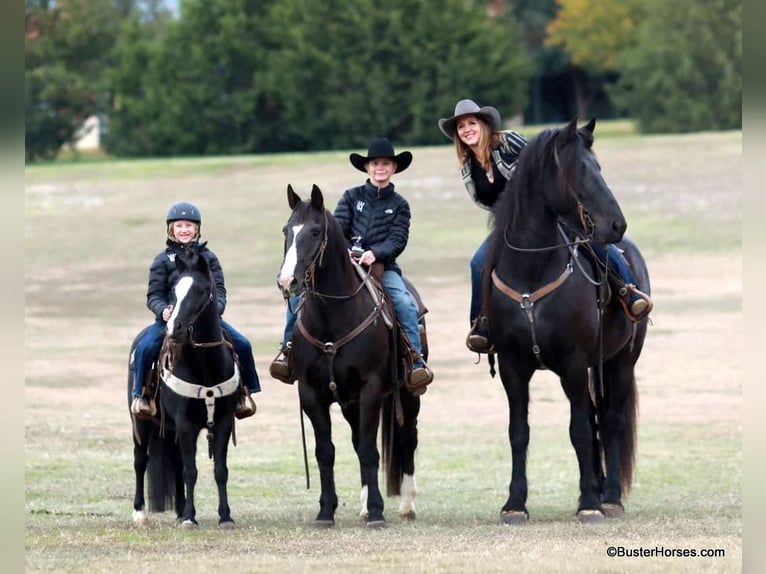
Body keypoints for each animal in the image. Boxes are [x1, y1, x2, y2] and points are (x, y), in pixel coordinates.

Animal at [127, 248, 240, 532]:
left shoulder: (223, 422)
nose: (173, 328)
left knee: (177, 463)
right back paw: (140, 513)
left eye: (200, 290)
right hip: (139, 423)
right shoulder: (186, 424)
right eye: (174, 291)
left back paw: (178, 510)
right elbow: (191, 470)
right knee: (140, 461)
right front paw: (190, 517)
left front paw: (225, 516)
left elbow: (220, 470)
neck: (205, 365)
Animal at [278, 186, 424, 532]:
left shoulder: (369, 390)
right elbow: (326, 451)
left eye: (315, 231)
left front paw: (377, 512)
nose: (288, 282)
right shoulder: (312, 393)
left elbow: (371, 451)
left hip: (408, 394)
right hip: (348, 403)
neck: (334, 315)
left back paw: (406, 505)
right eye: (287, 230)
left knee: (407, 438)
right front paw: (326, 511)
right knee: (359, 441)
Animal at [486, 117, 648, 528]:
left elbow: (579, 431)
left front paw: (590, 503)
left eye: (599, 168)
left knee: (610, 422)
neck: (531, 272)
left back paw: (609, 497)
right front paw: (515, 504)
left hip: (619, 362)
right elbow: (519, 432)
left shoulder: (574, 364)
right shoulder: (513, 367)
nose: (617, 225)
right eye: (580, 171)